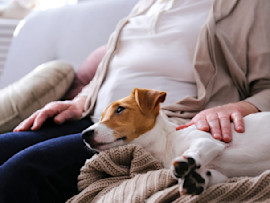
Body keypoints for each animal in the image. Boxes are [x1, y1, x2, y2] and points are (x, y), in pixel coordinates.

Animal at [81, 88, 270, 195]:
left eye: (120, 109)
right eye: (101, 116)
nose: (84, 134)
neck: (166, 142)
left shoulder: (209, 141)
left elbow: (195, 150)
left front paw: (187, 162)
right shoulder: (223, 174)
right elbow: (213, 176)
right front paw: (196, 180)